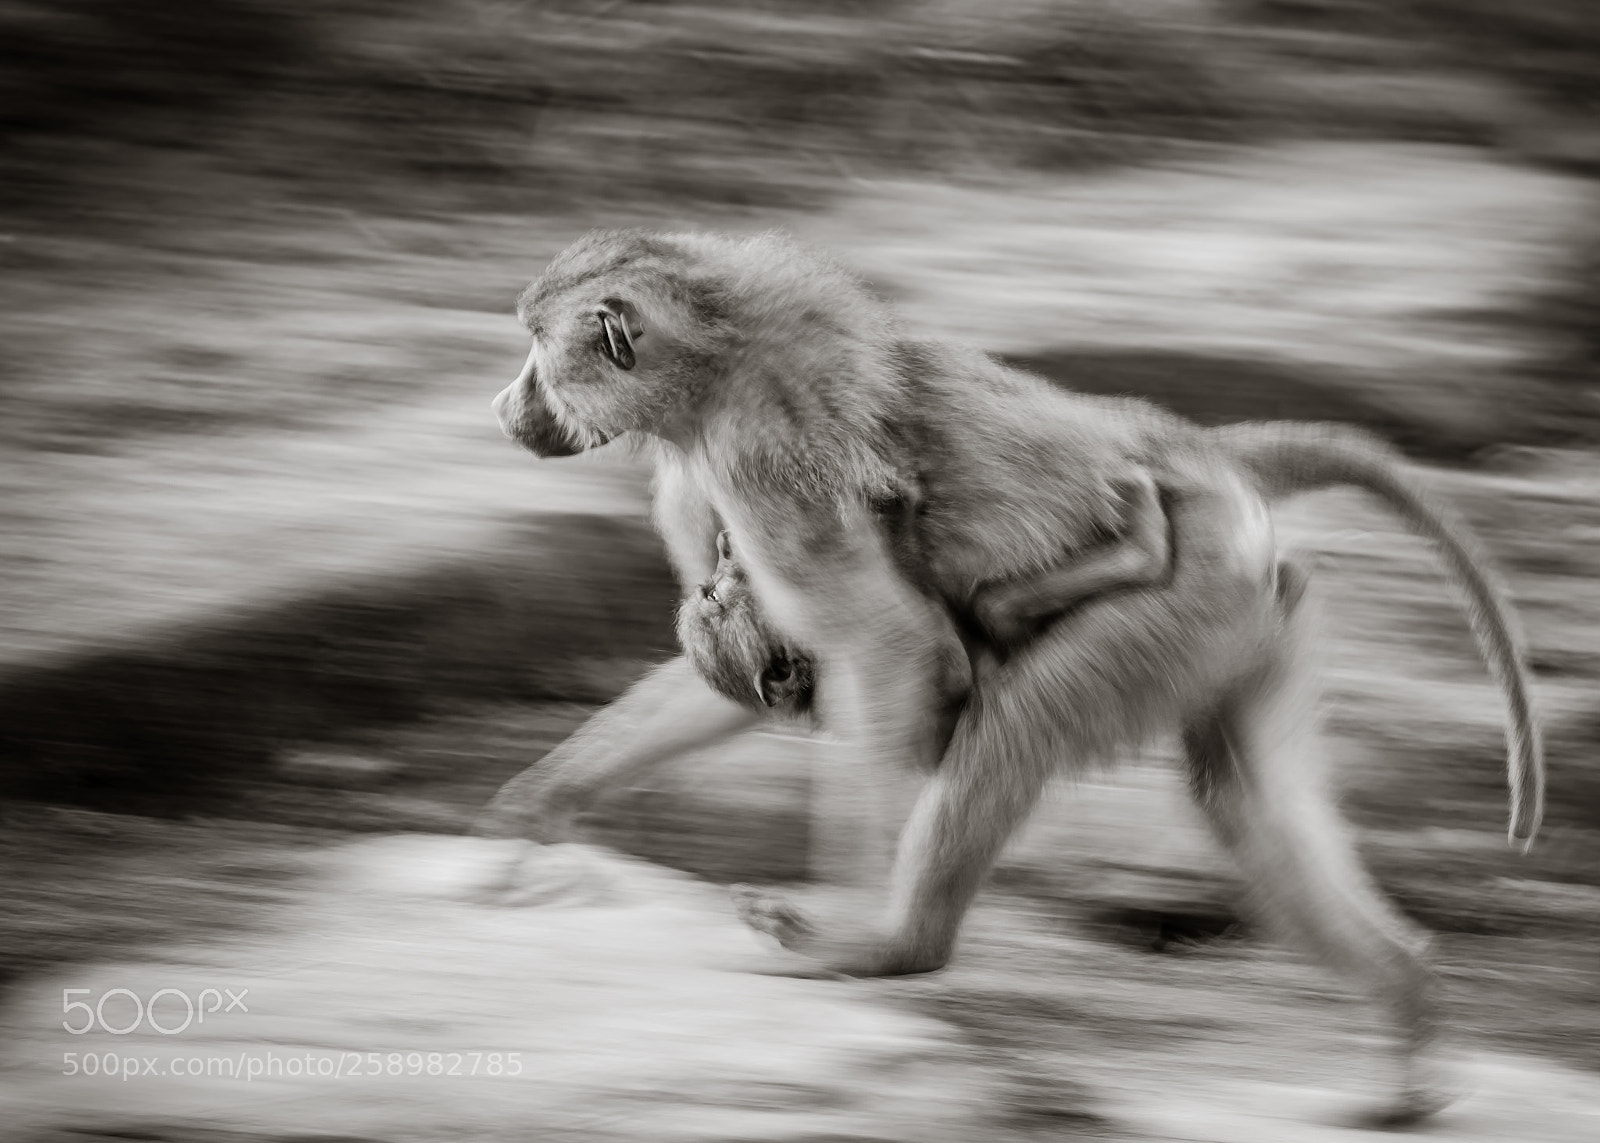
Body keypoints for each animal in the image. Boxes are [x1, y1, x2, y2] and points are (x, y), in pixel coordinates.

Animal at [480, 227, 1543, 1120]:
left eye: (537, 350)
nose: (504, 406)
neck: (715, 360)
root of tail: (1206, 454)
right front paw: (538, 814)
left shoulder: (762, 467)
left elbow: (895, 647)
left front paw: (863, 937)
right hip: (1249, 613)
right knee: (1244, 801)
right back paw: (1407, 1004)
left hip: (1189, 587)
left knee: (1017, 722)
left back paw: (898, 947)